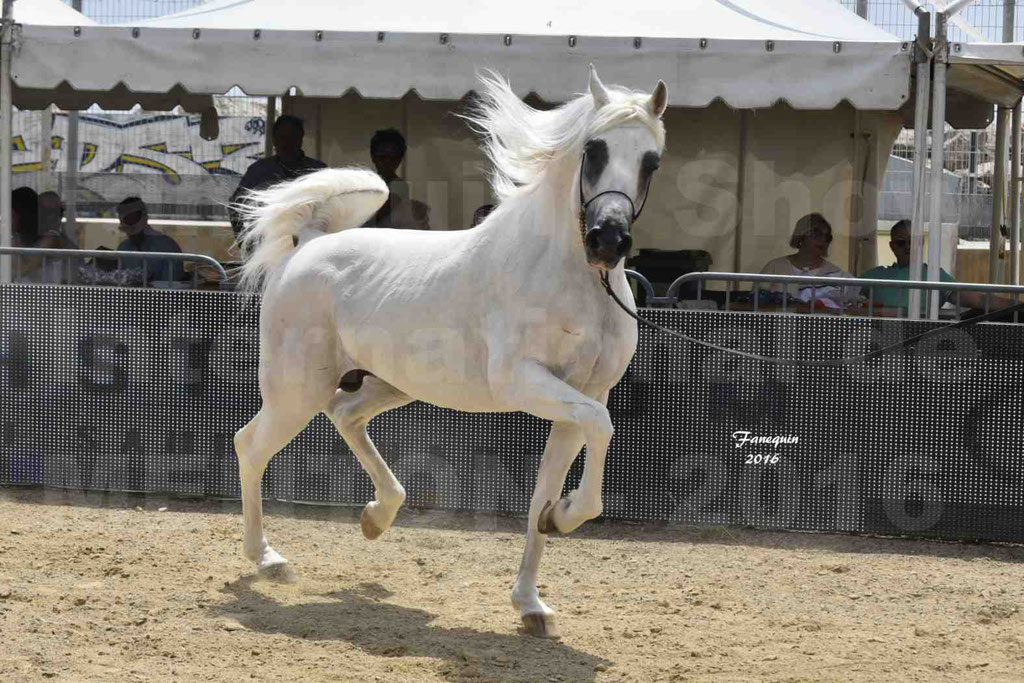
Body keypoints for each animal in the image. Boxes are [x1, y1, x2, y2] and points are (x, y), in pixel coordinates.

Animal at [231, 66, 663, 638]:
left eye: (651, 160)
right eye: (594, 149)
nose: (607, 241)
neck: (568, 279)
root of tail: (308, 243)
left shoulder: (581, 395)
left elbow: (546, 490)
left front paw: (532, 601)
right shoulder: (524, 382)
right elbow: (601, 429)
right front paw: (563, 518)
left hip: (388, 382)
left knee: (347, 415)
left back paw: (376, 516)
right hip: (295, 391)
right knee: (251, 445)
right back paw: (268, 559)